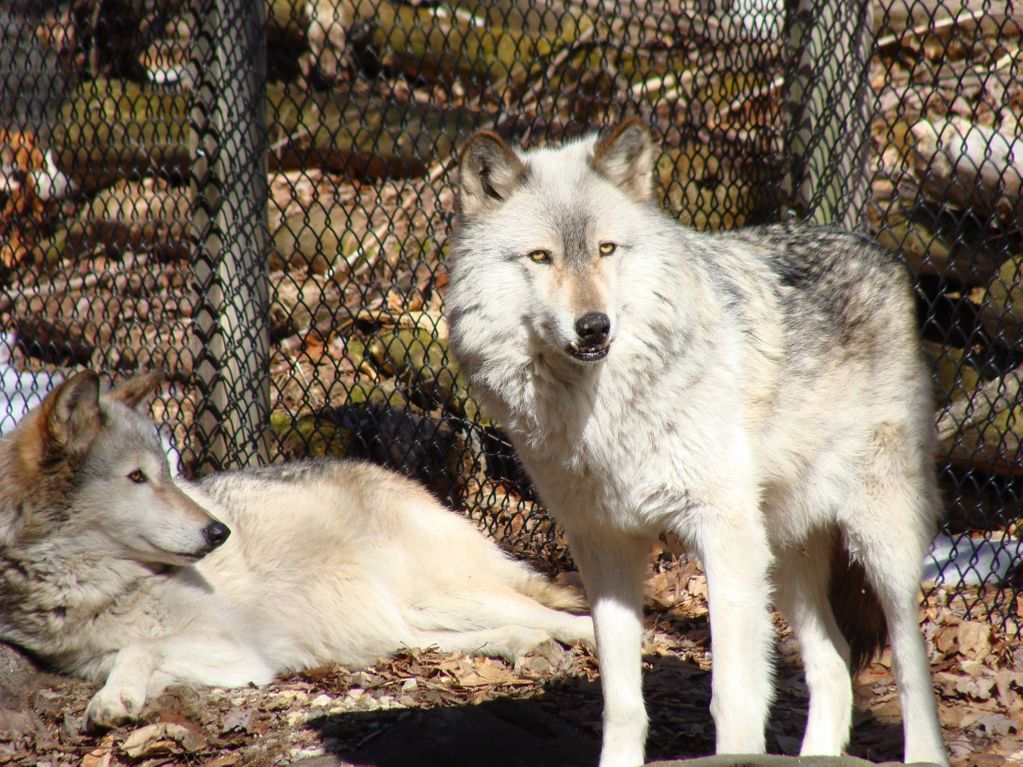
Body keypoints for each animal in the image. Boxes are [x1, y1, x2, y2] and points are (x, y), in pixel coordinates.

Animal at [0, 372, 597, 732]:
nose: (218, 532)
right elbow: (131, 653)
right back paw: (519, 644)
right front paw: (119, 697)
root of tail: (404, 481)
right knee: (450, 637)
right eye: (137, 478)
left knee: (563, 614)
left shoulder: (239, 652)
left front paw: (111, 701)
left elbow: (140, 647)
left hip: (446, 594)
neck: (98, 585)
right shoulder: (122, 657)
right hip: (397, 621)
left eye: (165, 473)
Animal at [448, 118, 949, 767]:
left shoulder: (722, 534)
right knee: (835, 665)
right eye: (541, 256)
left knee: (912, 660)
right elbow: (621, 701)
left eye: (607, 249)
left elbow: (733, 695)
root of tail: (879, 252)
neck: (604, 413)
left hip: (876, 542)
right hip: (784, 558)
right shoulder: (604, 544)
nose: (594, 327)